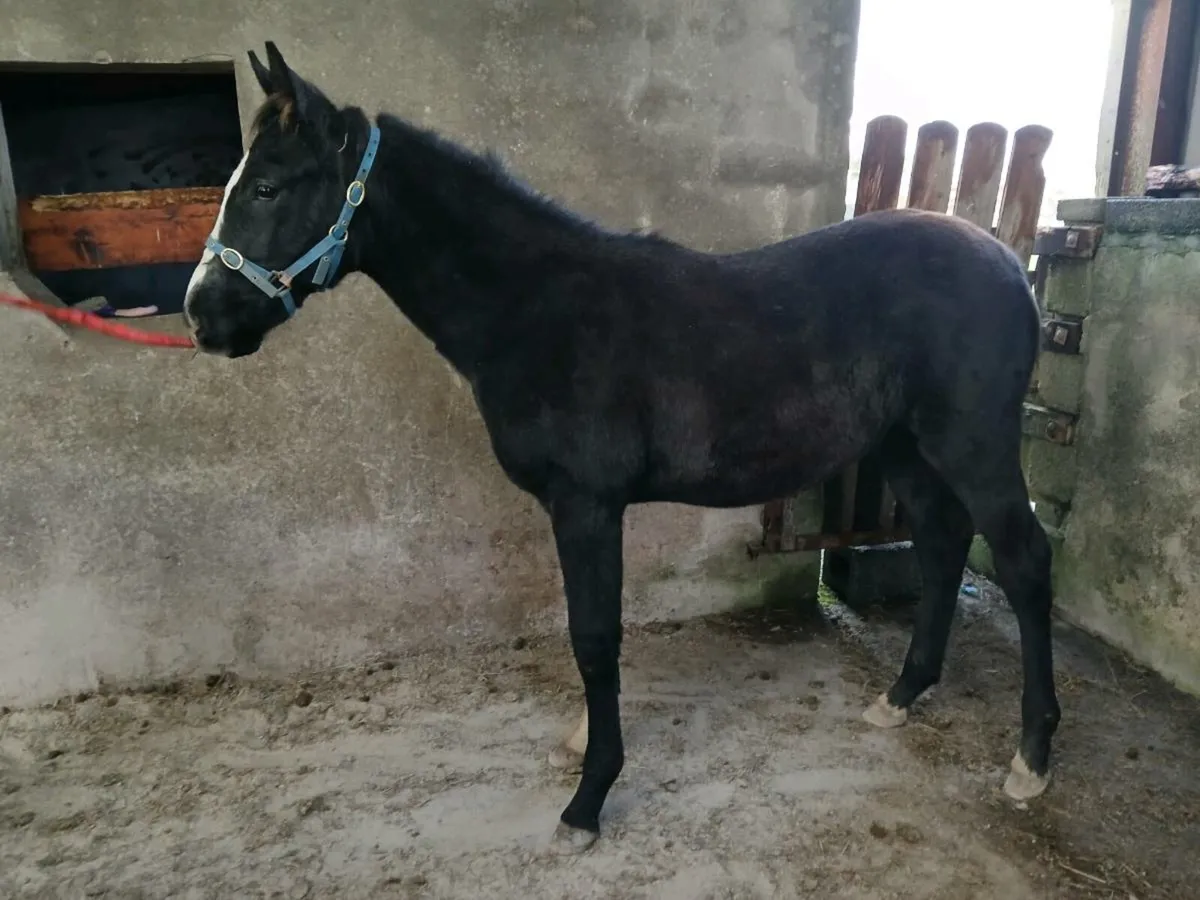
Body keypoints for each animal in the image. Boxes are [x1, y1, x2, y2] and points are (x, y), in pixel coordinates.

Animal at [183, 42, 1061, 853]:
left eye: (266, 187)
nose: (200, 316)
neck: (538, 309)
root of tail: (1007, 262)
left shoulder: (588, 503)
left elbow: (594, 638)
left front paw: (588, 798)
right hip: (905, 447)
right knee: (944, 545)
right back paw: (901, 698)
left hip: (974, 445)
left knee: (1023, 562)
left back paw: (1031, 760)